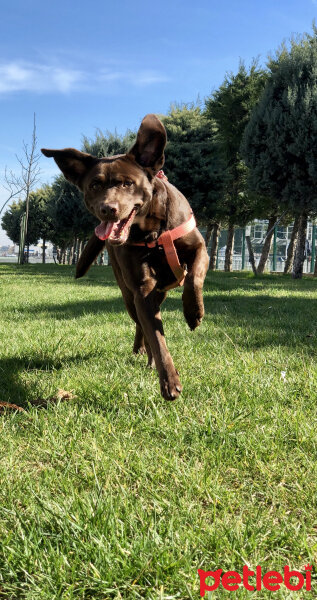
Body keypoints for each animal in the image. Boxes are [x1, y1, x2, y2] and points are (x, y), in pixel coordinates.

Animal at [42, 115, 210, 400]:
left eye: (127, 183)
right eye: (94, 185)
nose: (107, 209)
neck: (153, 232)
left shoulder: (200, 247)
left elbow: (194, 277)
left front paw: (193, 312)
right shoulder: (142, 290)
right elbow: (157, 338)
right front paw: (168, 380)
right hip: (129, 294)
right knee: (141, 325)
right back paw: (145, 354)